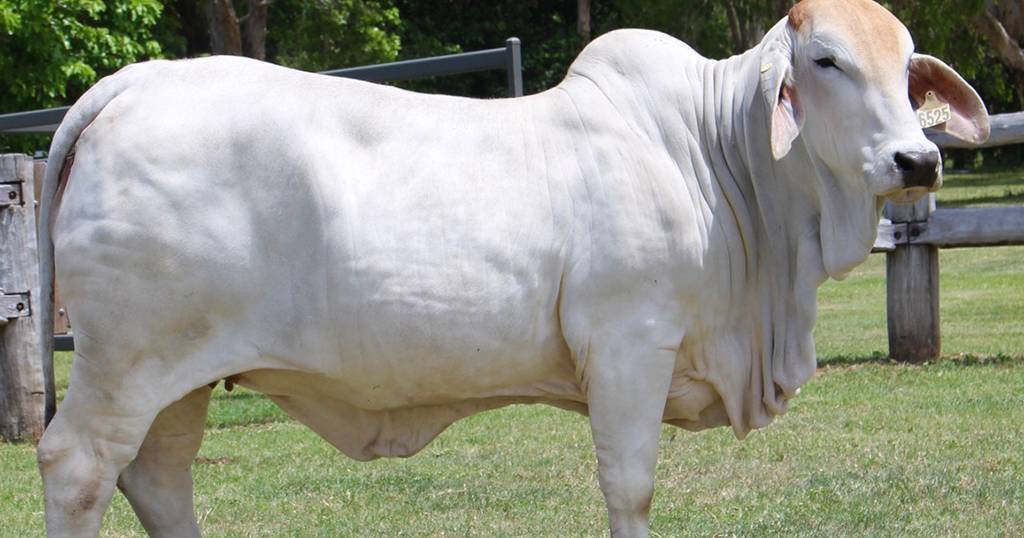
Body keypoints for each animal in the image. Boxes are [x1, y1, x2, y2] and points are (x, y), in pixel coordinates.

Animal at [37, 0, 983, 532]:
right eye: (825, 60)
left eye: (907, 68)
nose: (916, 160)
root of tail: (134, 84)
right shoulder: (630, 345)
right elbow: (630, 488)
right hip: (125, 364)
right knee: (79, 468)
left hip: (180, 376)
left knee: (158, 478)